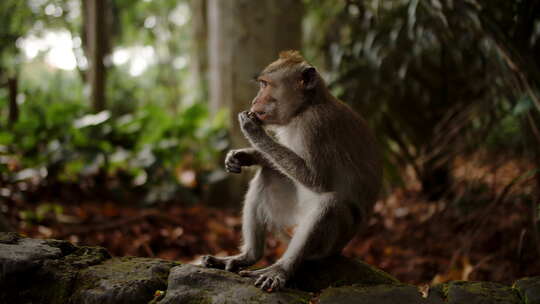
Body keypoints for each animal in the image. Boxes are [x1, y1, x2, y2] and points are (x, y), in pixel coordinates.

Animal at [202, 50, 384, 292]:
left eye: (265, 85)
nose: (254, 101)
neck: (305, 108)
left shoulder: (315, 127)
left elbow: (316, 180)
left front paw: (252, 130)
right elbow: (273, 164)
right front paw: (243, 155)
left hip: (331, 244)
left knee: (329, 204)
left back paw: (281, 269)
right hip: (289, 217)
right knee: (267, 177)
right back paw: (248, 256)